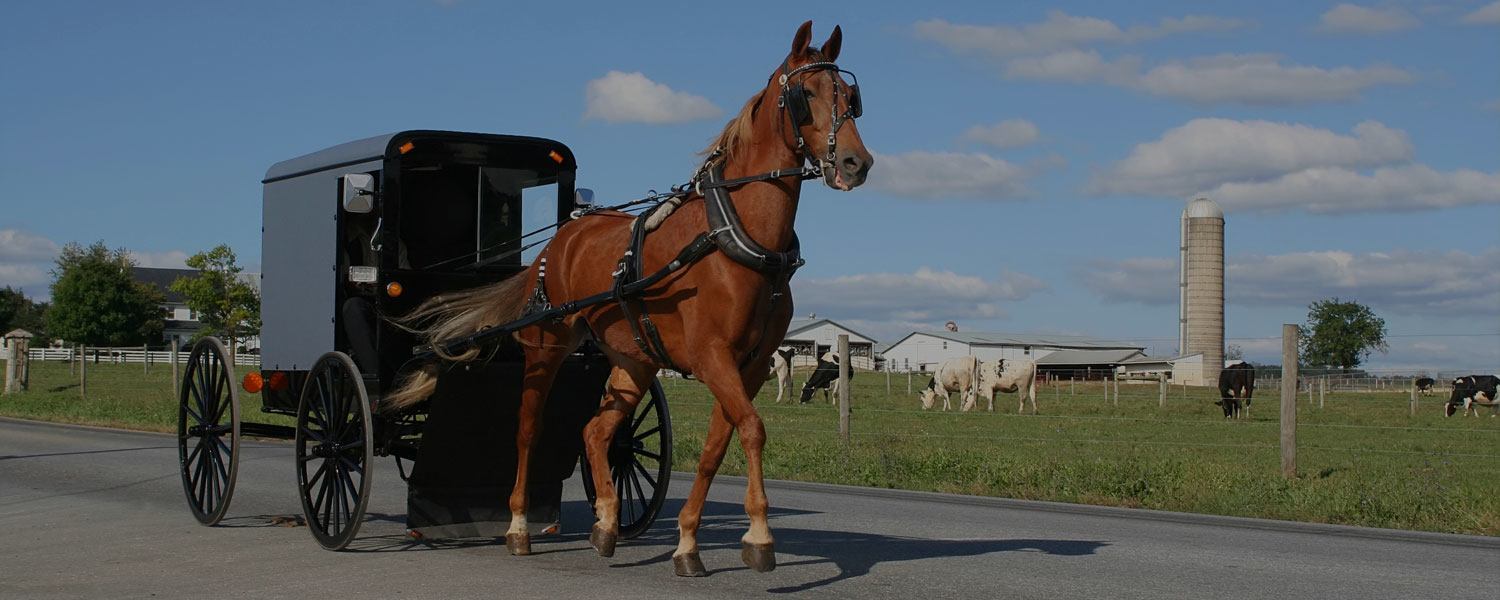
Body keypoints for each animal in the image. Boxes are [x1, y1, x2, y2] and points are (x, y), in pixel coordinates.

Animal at [387, 22, 876, 576]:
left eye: (850, 97)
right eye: (805, 95)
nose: (856, 163)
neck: (735, 238)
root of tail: (559, 239)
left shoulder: (748, 365)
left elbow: (718, 444)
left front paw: (687, 541)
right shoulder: (711, 356)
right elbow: (752, 429)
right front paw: (759, 534)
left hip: (633, 359)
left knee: (596, 432)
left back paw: (605, 523)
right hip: (546, 349)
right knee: (528, 430)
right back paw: (518, 527)